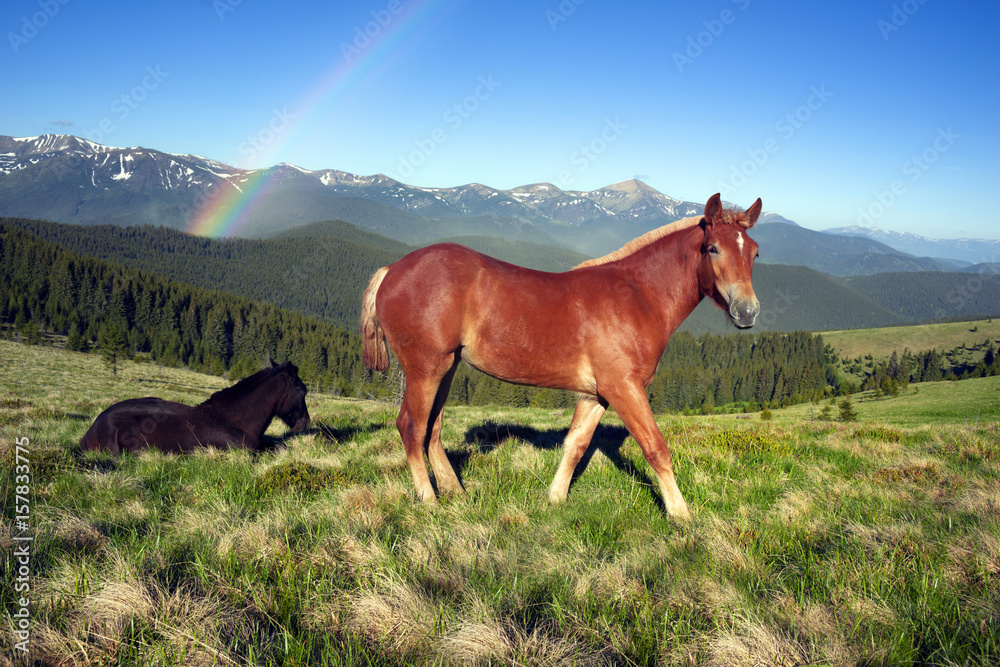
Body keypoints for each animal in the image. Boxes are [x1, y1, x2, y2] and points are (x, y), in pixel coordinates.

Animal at [364, 190, 760, 520]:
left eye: (754, 252)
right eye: (712, 248)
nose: (747, 312)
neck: (637, 296)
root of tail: (392, 270)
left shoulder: (596, 394)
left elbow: (576, 444)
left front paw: (554, 498)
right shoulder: (624, 388)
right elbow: (655, 447)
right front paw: (681, 515)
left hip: (446, 368)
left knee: (432, 428)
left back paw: (454, 491)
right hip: (426, 368)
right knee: (411, 426)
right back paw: (429, 500)